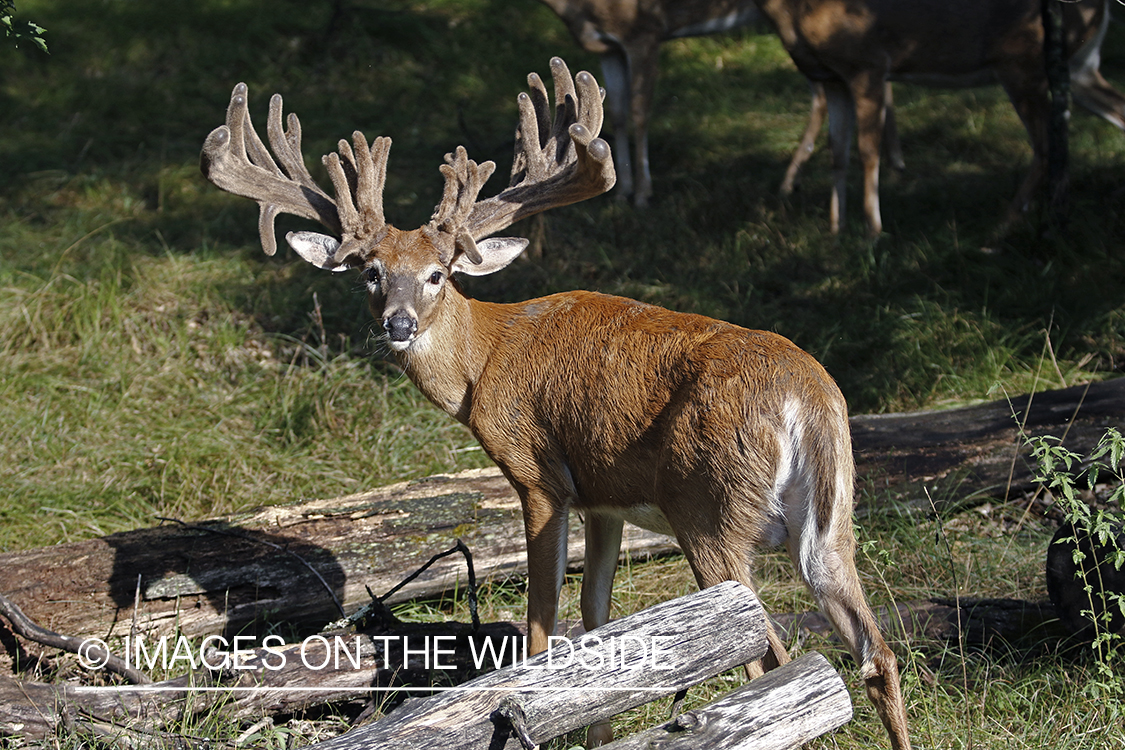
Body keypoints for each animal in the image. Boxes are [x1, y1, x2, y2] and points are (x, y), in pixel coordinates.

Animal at [198, 60, 909, 750]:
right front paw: (594, 733)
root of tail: (806, 398)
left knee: (772, 657)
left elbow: (543, 626)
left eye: (437, 274)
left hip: (708, 506)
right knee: (876, 652)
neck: (483, 358)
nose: (399, 323)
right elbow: (597, 620)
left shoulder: (540, 474)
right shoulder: (606, 498)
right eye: (371, 271)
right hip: (830, 522)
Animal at [747, 0, 1125, 235]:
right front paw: (835, 231)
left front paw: (873, 231)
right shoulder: (833, 78)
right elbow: (837, 154)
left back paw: (998, 232)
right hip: (1079, 68)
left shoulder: (868, 65)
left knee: (1046, 147)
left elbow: (868, 152)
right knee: (1114, 112)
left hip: (1023, 62)